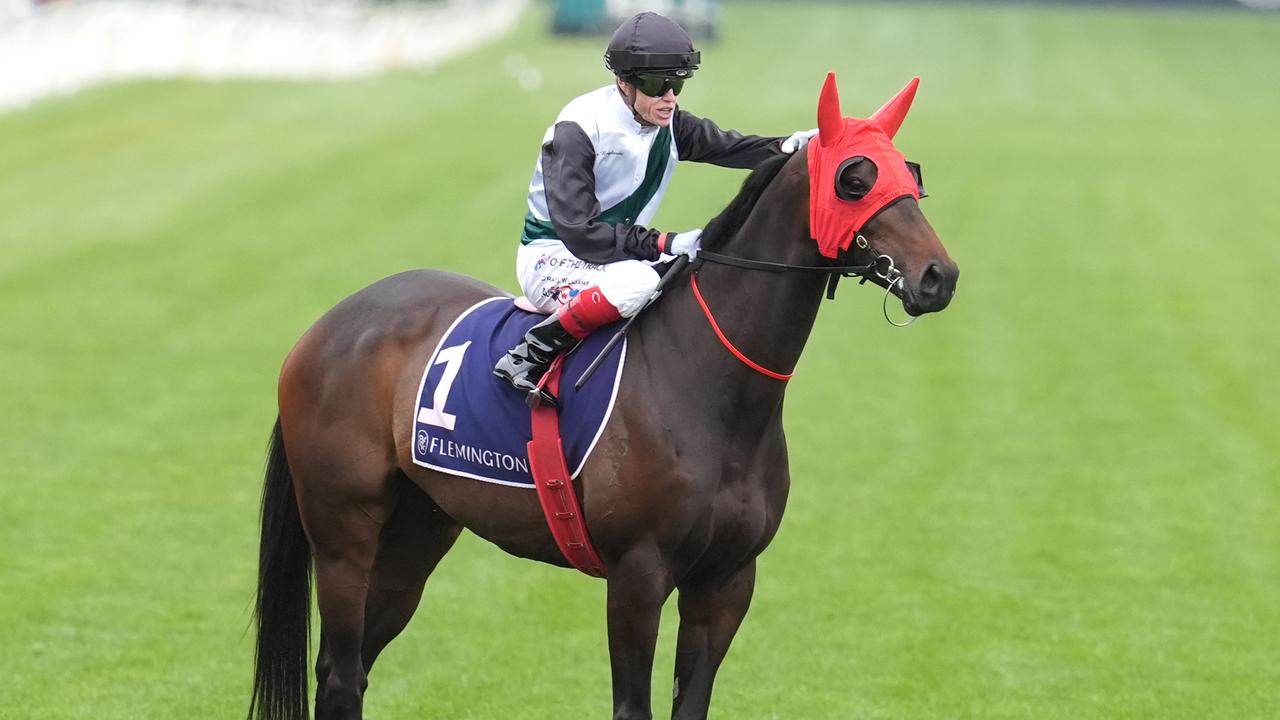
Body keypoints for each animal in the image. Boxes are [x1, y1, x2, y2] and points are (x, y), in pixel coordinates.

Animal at [247, 75, 962, 712]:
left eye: (911, 175)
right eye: (854, 181)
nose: (939, 276)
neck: (712, 389)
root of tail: (328, 325)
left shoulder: (727, 580)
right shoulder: (638, 574)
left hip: (418, 531)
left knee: (348, 668)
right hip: (343, 534)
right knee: (342, 675)